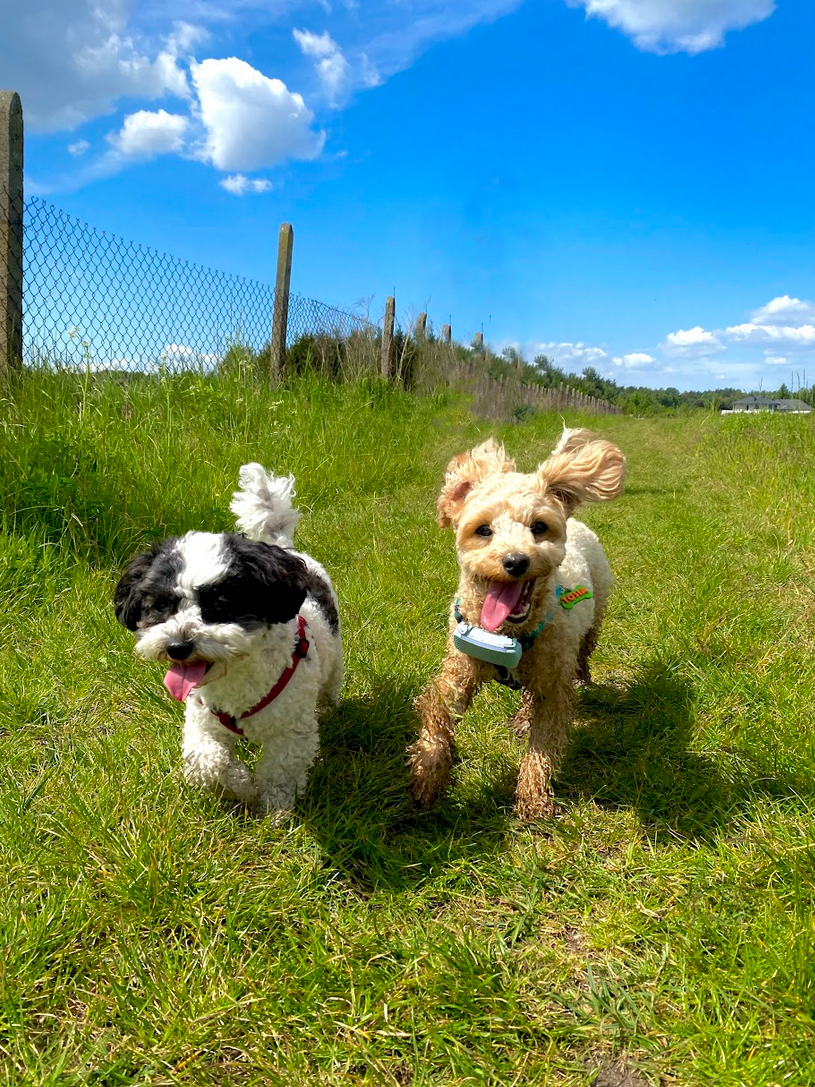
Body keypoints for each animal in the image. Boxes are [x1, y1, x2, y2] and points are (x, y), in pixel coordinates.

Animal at [114, 464, 343, 821]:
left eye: (220, 604)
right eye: (161, 605)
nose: (177, 646)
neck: (236, 676)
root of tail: (286, 549)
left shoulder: (289, 732)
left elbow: (279, 773)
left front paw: (273, 810)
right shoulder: (202, 723)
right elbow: (207, 764)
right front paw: (242, 788)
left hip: (334, 660)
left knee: (331, 684)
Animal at [408, 428, 625, 820]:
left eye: (538, 527)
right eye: (483, 530)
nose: (515, 560)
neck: (508, 636)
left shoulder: (554, 686)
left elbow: (543, 744)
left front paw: (533, 798)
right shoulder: (458, 670)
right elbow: (438, 715)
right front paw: (428, 774)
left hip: (592, 620)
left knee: (581, 655)